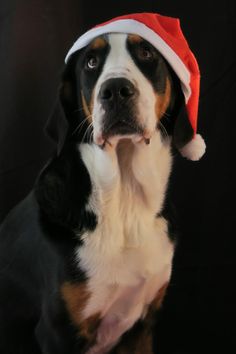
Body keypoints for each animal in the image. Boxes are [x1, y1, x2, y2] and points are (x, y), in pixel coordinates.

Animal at [0, 26, 200, 352]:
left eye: (146, 53)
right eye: (91, 62)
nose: (116, 89)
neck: (125, 199)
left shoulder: (143, 325)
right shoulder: (59, 331)